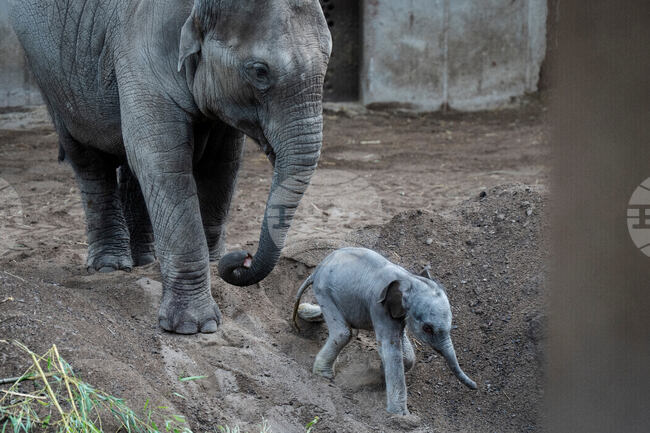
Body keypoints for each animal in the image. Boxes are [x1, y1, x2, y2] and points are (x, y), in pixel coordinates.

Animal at [8, 0, 331, 334]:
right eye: (259, 71)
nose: (241, 257)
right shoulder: (140, 42)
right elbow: (164, 160)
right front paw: (194, 327)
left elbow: (222, 163)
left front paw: (214, 265)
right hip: (50, 71)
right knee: (87, 157)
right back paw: (110, 265)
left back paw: (144, 260)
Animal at [293, 247, 477, 415]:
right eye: (428, 328)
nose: (475, 386)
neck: (409, 279)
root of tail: (316, 270)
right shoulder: (378, 306)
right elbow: (390, 350)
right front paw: (400, 416)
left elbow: (403, 350)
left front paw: (382, 372)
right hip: (324, 290)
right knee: (343, 333)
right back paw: (324, 376)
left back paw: (304, 311)